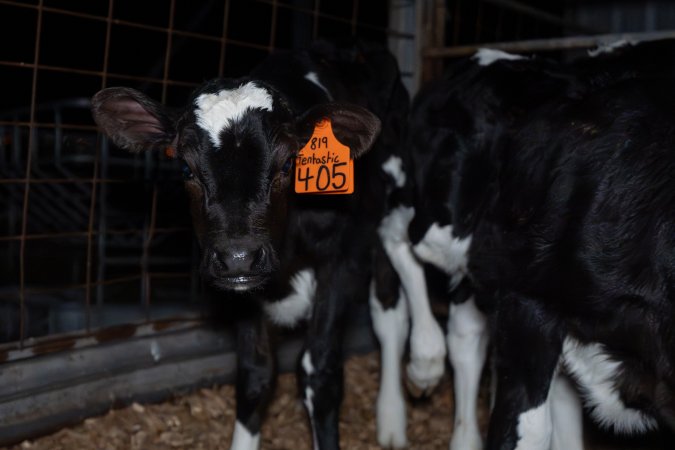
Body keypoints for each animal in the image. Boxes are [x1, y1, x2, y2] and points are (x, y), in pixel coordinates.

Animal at [90, 39, 445, 450]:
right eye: (186, 169)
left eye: (288, 164)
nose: (239, 257)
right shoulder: (239, 287)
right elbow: (255, 374)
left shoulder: (343, 259)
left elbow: (320, 370)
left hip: (396, 186)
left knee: (395, 280)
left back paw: (420, 370)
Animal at [407, 41, 675, 450]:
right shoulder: (529, 301)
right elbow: (526, 426)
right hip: (446, 219)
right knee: (401, 239)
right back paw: (424, 362)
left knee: (467, 331)